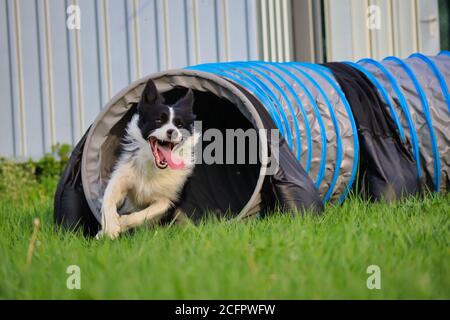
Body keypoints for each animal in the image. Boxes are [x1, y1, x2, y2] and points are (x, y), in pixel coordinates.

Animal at [99, 79, 200, 239]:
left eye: (179, 124)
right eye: (158, 120)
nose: (172, 131)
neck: (153, 164)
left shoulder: (169, 199)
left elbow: (146, 213)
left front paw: (123, 222)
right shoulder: (122, 176)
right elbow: (108, 199)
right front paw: (110, 228)